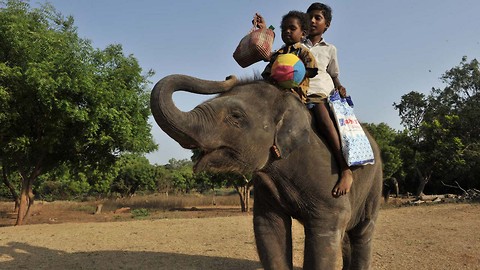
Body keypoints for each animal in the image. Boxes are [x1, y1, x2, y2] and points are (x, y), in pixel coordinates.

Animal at [150, 74, 382, 270]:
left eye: (236, 116)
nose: (229, 77)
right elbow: (269, 228)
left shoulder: (326, 179)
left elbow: (326, 230)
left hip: (375, 182)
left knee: (362, 230)